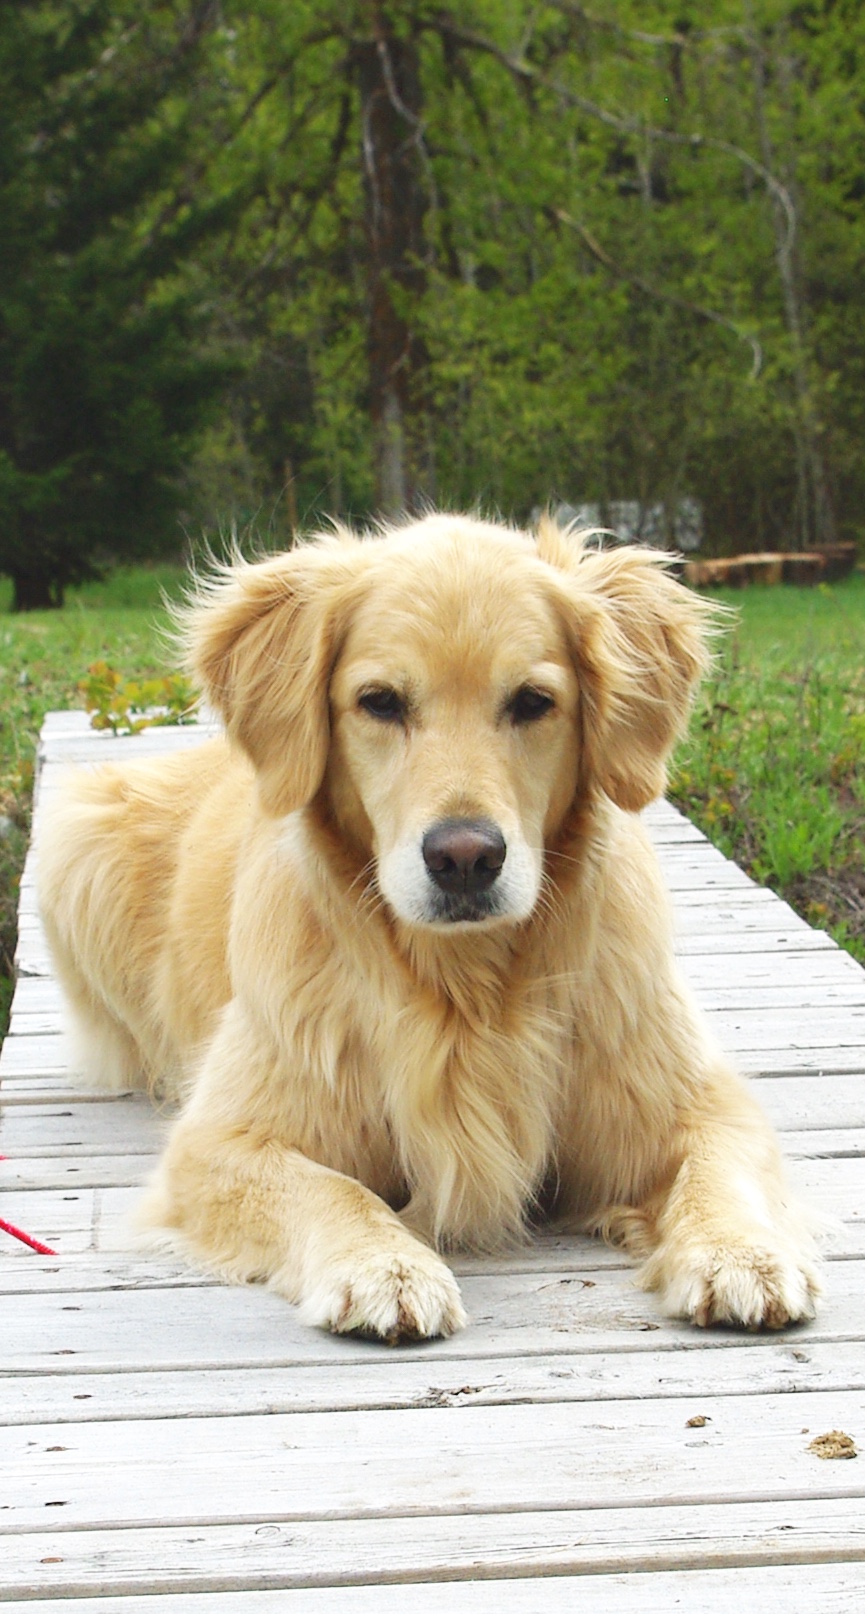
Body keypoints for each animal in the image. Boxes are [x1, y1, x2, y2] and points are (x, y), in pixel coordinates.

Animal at [38, 513, 820, 1341]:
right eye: (380, 702)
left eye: (532, 701)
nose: (464, 859)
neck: (466, 985)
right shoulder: (220, 1139)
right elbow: (329, 1187)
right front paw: (382, 1265)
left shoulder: (689, 1098)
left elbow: (719, 1165)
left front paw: (739, 1252)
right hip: (75, 839)